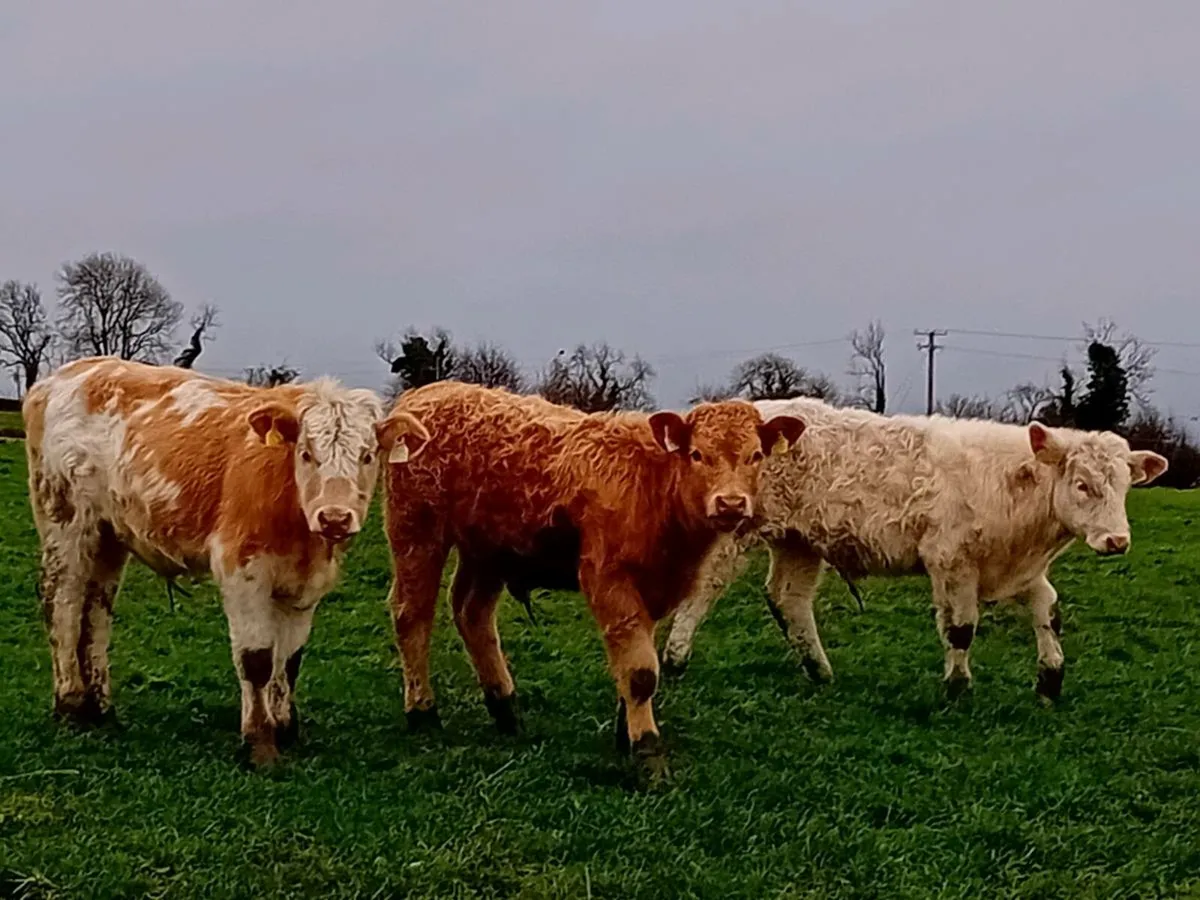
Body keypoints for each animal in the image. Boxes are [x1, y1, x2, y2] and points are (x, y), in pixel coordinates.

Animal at [23, 357, 428, 766]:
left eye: (367, 455)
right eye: (306, 453)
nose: (334, 518)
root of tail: (67, 374)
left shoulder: (306, 585)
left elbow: (289, 660)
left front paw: (286, 728)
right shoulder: (242, 569)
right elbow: (258, 659)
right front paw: (260, 743)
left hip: (109, 535)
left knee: (96, 613)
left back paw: (101, 708)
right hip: (66, 521)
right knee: (63, 604)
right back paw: (71, 705)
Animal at [382, 381, 805, 780]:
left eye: (755, 456)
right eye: (698, 454)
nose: (731, 504)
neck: (652, 485)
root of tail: (430, 391)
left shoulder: (654, 589)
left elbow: (636, 661)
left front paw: (625, 735)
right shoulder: (608, 579)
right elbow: (640, 673)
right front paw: (647, 752)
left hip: (488, 550)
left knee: (473, 615)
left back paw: (506, 709)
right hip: (416, 533)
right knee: (412, 617)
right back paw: (423, 713)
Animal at [661, 399, 1169, 701]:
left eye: (1125, 486)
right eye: (1082, 484)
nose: (1117, 541)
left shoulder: (1019, 569)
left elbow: (1049, 611)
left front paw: (1051, 678)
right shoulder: (951, 560)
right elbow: (961, 628)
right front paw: (958, 687)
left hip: (799, 541)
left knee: (789, 598)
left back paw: (819, 670)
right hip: (732, 529)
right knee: (706, 586)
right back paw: (675, 659)